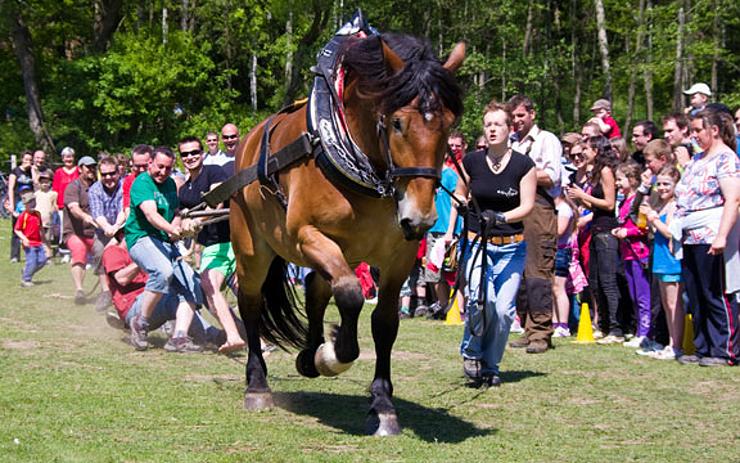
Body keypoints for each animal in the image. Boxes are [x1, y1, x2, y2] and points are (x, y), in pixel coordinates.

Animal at [228, 33, 466, 438]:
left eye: (449, 125)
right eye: (397, 122)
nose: (420, 219)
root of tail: (246, 143)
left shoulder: (399, 256)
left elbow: (384, 322)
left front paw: (382, 405)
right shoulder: (306, 235)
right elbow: (353, 296)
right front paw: (334, 353)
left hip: (343, 252)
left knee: (316, 289)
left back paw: (307, 356)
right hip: (253, 249)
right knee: (252, 303)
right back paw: (258, 384)